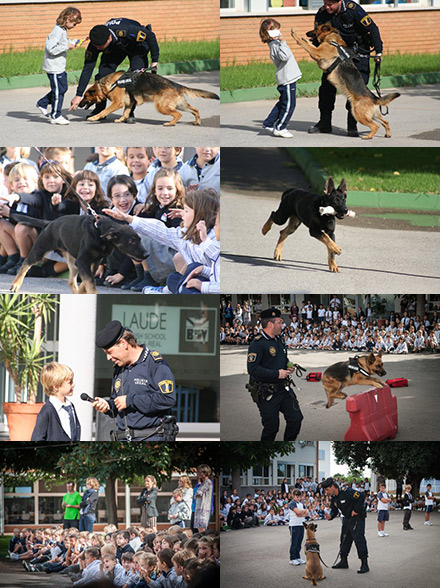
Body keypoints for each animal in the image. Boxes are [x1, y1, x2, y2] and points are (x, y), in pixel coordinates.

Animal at [9, 214, 146, 294]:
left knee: (71, 281)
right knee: (25, 263)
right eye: (131, 241)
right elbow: (90, 280)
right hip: (40, 250)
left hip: (72, 261)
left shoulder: (94, 261)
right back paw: (15, 284)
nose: (147, 254)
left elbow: (88, 279)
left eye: (140, 239)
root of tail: (50, 223)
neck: (99, 232)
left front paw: (82, 291)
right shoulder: (83, 260)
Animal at [79, 71, 220, 126]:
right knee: (195, 109)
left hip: (161, 106)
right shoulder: (128, 103)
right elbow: (125, 113)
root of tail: (176, 85)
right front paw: (121, 120)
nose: (79, 104)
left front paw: (94, 118)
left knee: (178, 114)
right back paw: (197, 121)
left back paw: (170, 123)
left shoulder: (117, 103)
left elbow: (104, 111)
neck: (107, 85)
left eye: (85, 96)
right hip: (180, 105)